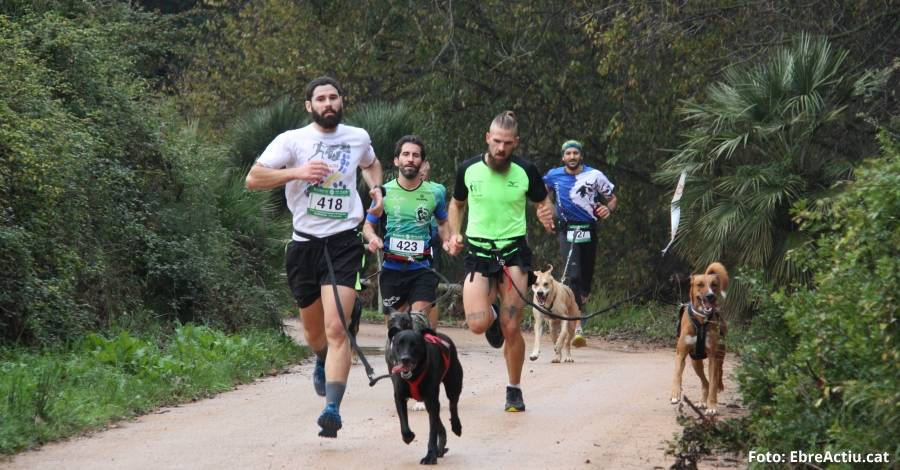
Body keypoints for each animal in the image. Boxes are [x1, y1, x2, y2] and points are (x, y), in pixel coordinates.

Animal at [388, 326, 464, 466]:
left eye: (414, 345)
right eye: (398, 344)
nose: (405, 359)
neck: (414, 376)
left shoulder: (432, 400)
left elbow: (432, 432)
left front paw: (430, 456)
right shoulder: (399, 397)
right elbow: (404, 424)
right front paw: (408, 437)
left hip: (453, 384)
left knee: (453, 405)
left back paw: (456, 427)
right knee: (441, 426)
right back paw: (441, 449)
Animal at [672, 262, 728, 416]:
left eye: (714, 285)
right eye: (700, 284)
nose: (710, 296)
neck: (701, 320)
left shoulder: (713, 357)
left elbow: (714, 383)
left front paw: (712, 406)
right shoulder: (681, 354)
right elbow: (677, 375)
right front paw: (675, 394)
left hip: (720, 353)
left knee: (717, 375)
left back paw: (716, 390)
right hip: (695, 361)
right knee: (705, 382)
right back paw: (702, 401)